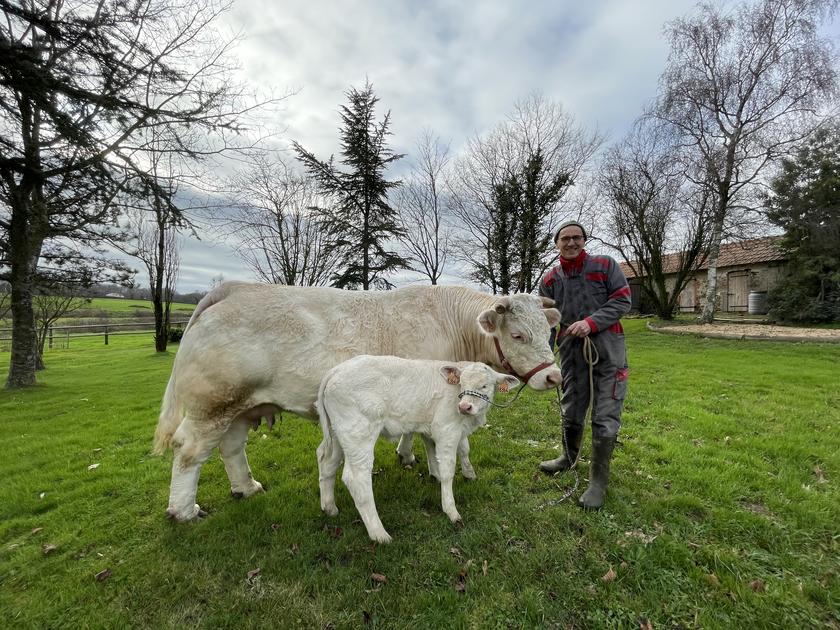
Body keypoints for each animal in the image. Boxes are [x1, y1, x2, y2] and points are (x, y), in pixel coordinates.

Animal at [154, 282, 560, 524]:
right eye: (518, 335)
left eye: (549, 331)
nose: (553, 377)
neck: (450, 325)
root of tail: (230, 290)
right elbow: (435, 441)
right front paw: (430, 467)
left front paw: (406, 455)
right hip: (212, 404)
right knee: (188, 451)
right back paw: (184, 510)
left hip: (240, 406)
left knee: (231, 448)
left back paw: (246, 487)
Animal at [314, 356, 516, 544]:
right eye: (462, 383)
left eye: (484, 386)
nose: (464, 407)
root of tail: (336, 370)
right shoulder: (446, 429)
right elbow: (448, 469)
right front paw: (451, 510)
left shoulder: (449, 429)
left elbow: (461, 449)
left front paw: (464, 474)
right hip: (359, 433)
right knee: (356, 478)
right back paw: (379, 534)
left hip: (338, 434)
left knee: (327, 461)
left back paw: (330, 508)